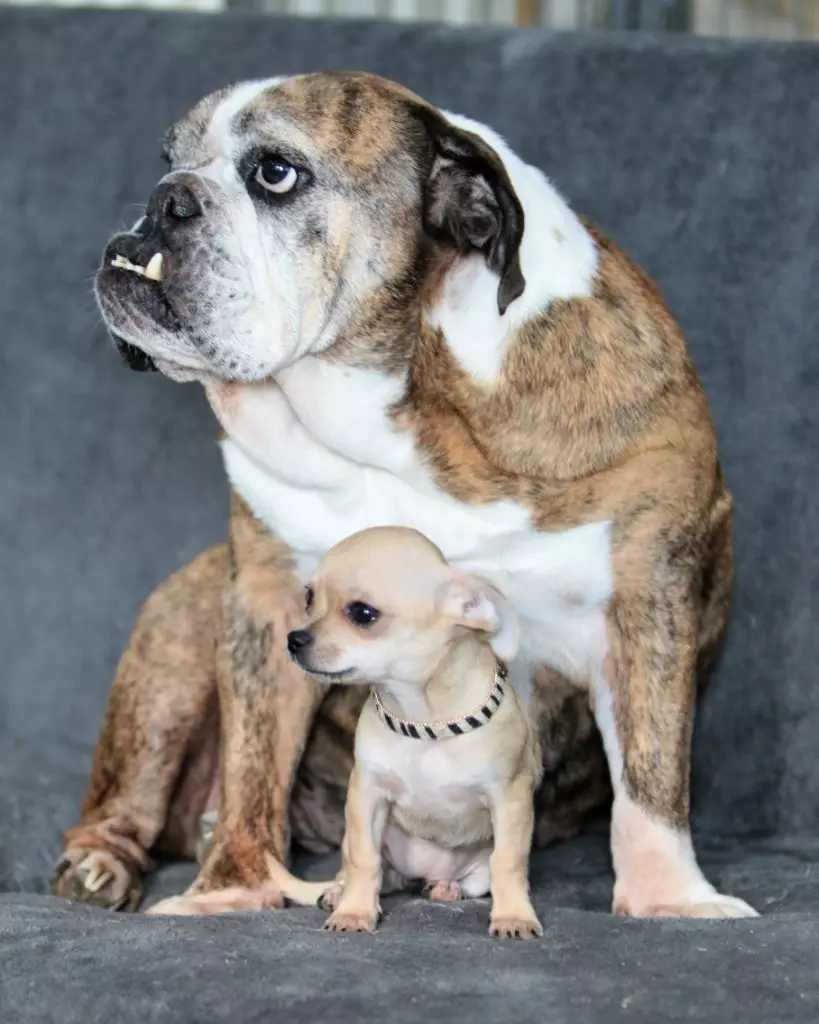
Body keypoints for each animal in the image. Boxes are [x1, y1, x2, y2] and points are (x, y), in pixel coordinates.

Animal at [272, 528, 548, 937]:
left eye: (363, 614)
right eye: (308, 598)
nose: (294, 639)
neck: (424, 723)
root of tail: (420, 875)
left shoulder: (510, 800)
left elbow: (508, 863)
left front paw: (514, 915)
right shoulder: (366, 797)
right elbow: (365, 860)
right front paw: (355, 912)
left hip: (476, 863)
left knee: (476, 878)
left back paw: (447, 887)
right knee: (362, 870)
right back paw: (339, 893)